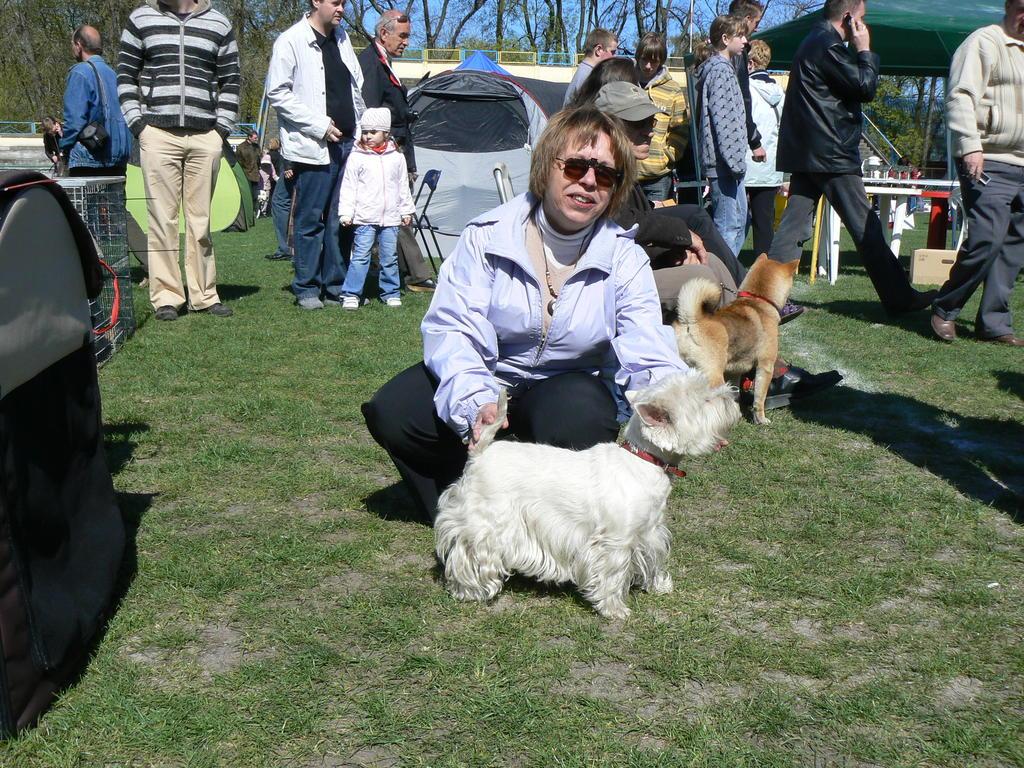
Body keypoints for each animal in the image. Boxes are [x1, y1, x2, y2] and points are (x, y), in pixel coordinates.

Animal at [434, 373, 740, 619]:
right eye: (706, 400)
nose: (732, 393)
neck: (644, 461)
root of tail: (481, 452)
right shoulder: (615, 542)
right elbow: (612, 576)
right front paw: (615, 609)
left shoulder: (650, 531)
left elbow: (654, 558)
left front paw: (659, 585)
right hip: (485, 523)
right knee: (467, 554)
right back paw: (470, 590)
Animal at [672, 254, 800, 425]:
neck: (759, 300)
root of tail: (691, 322)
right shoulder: (765, 366)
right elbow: (759, 399)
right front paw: (761, 420)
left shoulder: (734, 373)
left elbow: (735, 394)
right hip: (713, 376)